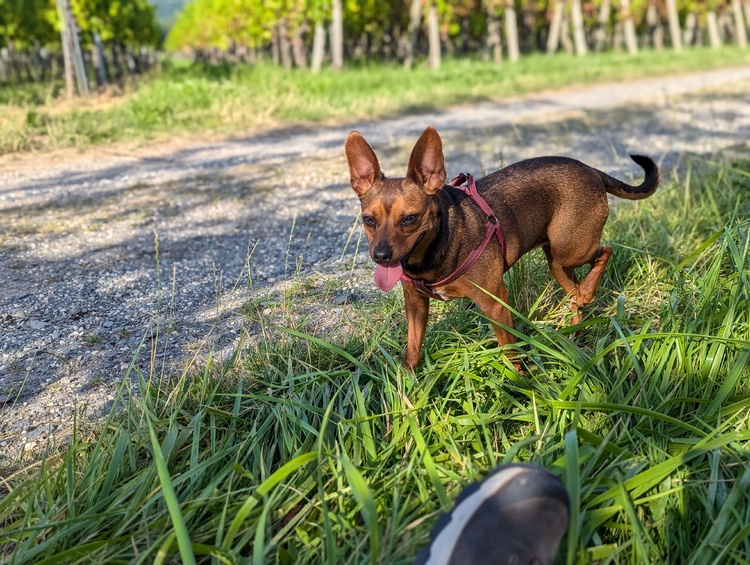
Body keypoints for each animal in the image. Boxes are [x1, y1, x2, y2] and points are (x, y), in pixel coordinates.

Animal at [344, 125, 660, 368]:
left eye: (410, 219)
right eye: (369, 220)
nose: (381, 256)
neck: (436, 249)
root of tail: (591, 169)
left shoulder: (495, 302)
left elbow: (509, 351)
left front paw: (518, 385)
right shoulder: (416, 305)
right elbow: (412, 349)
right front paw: (407, 393)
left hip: (571, 248)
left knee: (605, 252)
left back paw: (586, 295)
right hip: (558, 262)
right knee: (575, 293)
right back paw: (574, 326)